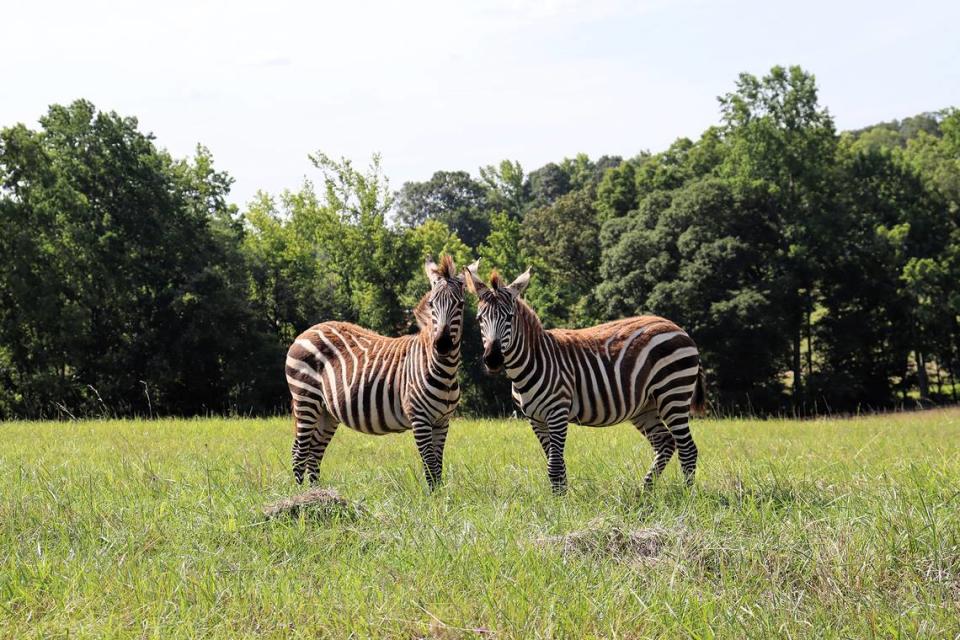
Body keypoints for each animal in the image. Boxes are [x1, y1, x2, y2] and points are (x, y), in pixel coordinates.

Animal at [284, 252, 464, 488]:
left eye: (460, 304)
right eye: (432, 304)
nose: (442, 345)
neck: (444, 370)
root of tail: (306, 332)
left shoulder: (442, 422)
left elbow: (438, 467)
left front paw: (440, 496)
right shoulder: (420, 418)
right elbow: (430, 466)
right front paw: (433, 497)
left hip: (326, 411)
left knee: (314, 453)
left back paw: (316, 493)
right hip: (306, 399)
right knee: (299, 453)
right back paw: (300, 495)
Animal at [464, 262, 704, 492]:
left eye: (509, 318)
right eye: (479, 319)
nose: (493, 359)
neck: (530, 362)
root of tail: (678, 328)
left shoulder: (557, 412)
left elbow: (554, 466)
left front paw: (560, 502)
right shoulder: (536, 419)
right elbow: (556, 464)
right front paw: (560, 499)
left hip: (673, 393)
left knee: (688, 448)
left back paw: (687, 495)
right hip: (645, 406)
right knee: (666, 443)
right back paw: (644, 492)